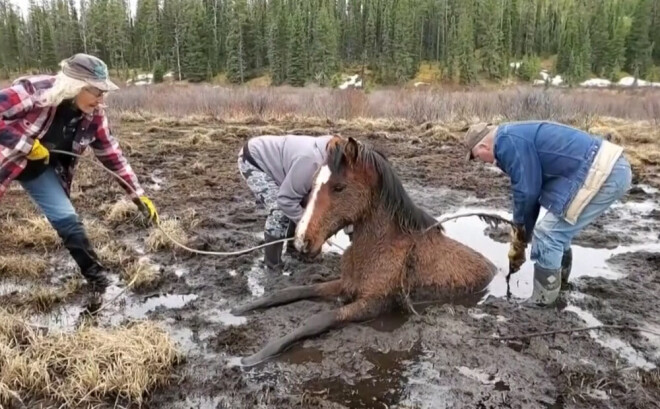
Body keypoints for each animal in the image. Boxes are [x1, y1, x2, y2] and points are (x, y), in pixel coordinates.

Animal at [232, 135, 496, 364]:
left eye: (339, 187)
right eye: (313, 184)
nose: (303, 241)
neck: (380, 247)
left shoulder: (374, 304)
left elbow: (317, 320)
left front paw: (257, 356)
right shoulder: (345, 284)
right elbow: (291, 292)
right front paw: (242, 308)